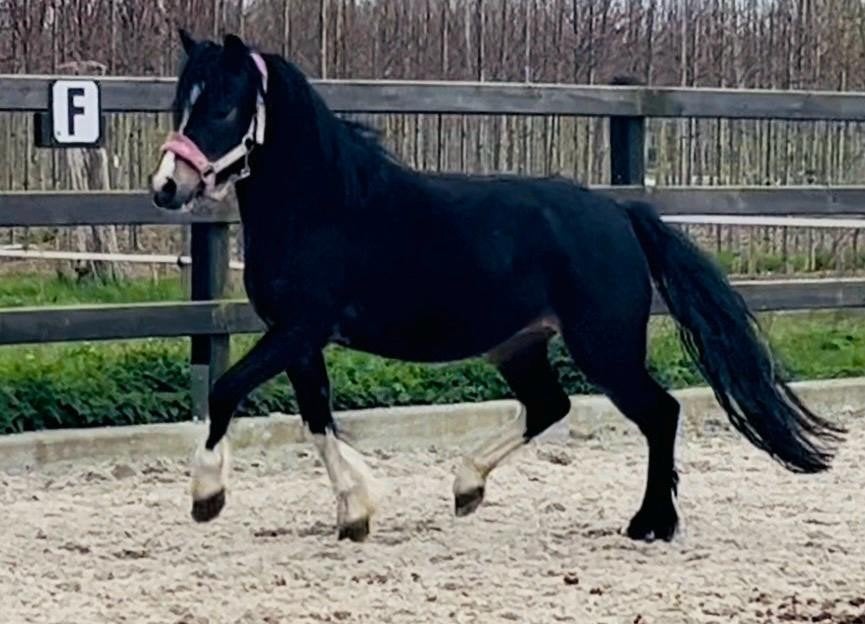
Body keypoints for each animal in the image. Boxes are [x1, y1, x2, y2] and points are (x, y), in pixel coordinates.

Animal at [149, 30, 845, 543]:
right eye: (182, 101)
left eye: (223, 106)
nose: (166, 188)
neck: (325, 206)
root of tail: (620, 213)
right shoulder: (298, 338)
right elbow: (317, 417)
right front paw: (355, 513)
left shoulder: (298, 329)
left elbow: (227, 391)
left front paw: (207, 496)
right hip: (520, 345)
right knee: (550, 406)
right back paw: (467, 487)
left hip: (604, 347)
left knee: (659, 412)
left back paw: (651, 524)